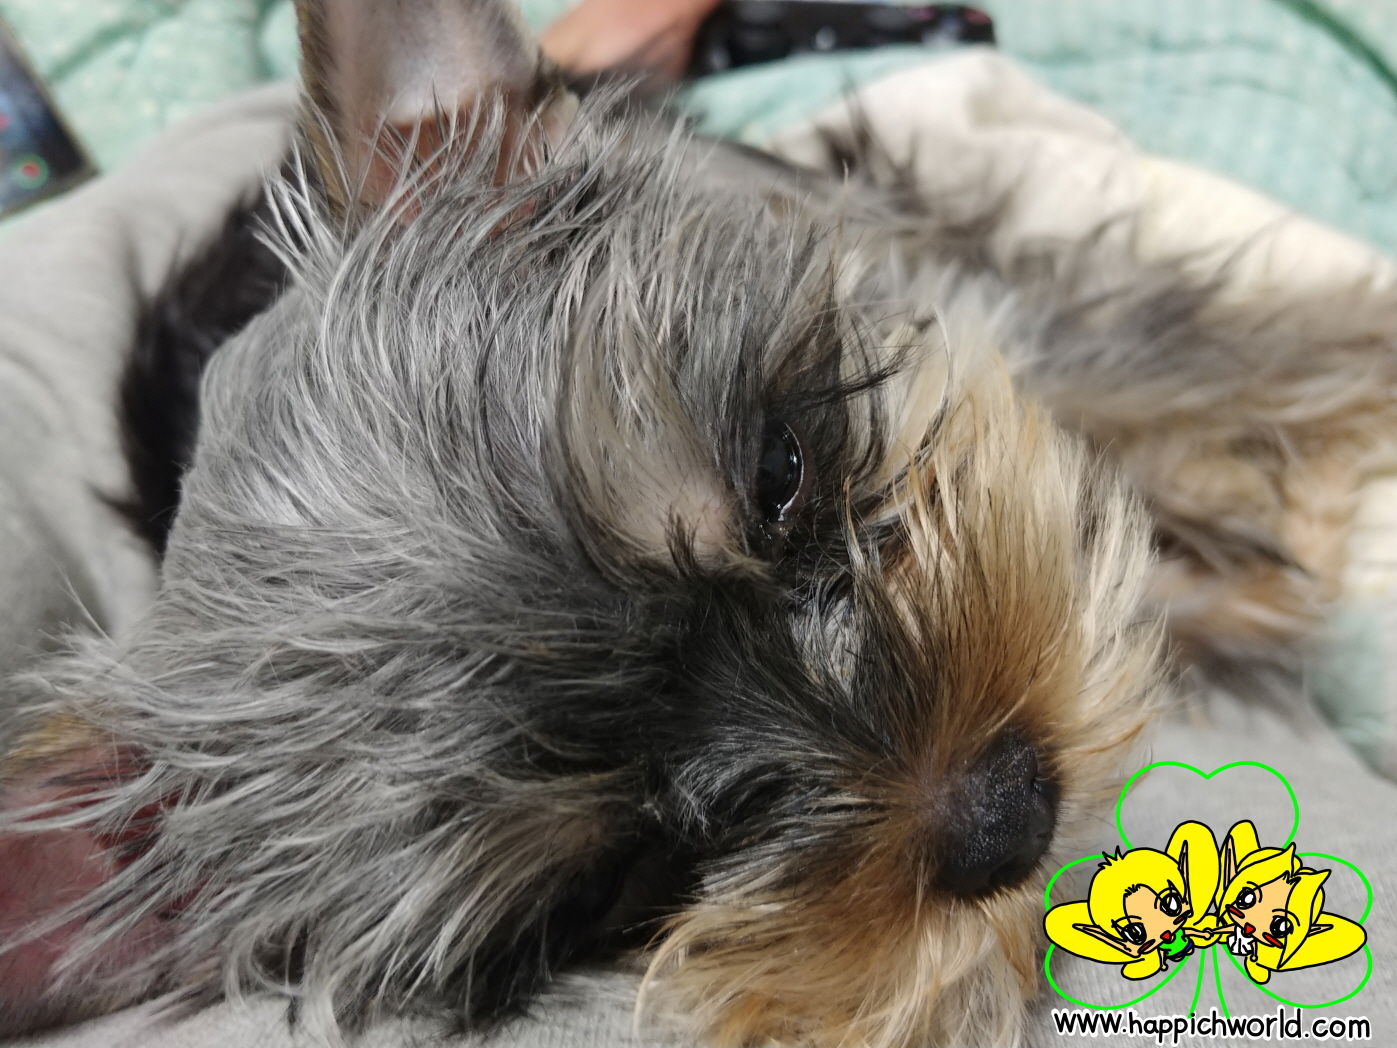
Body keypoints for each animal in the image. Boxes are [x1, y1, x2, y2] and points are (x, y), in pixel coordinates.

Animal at [1, 2, 1393, 1045]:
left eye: (780, 468)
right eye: (616, 874)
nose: (1006, 816)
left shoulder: (958, 317)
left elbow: (1214, 365)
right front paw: (1244, 575)